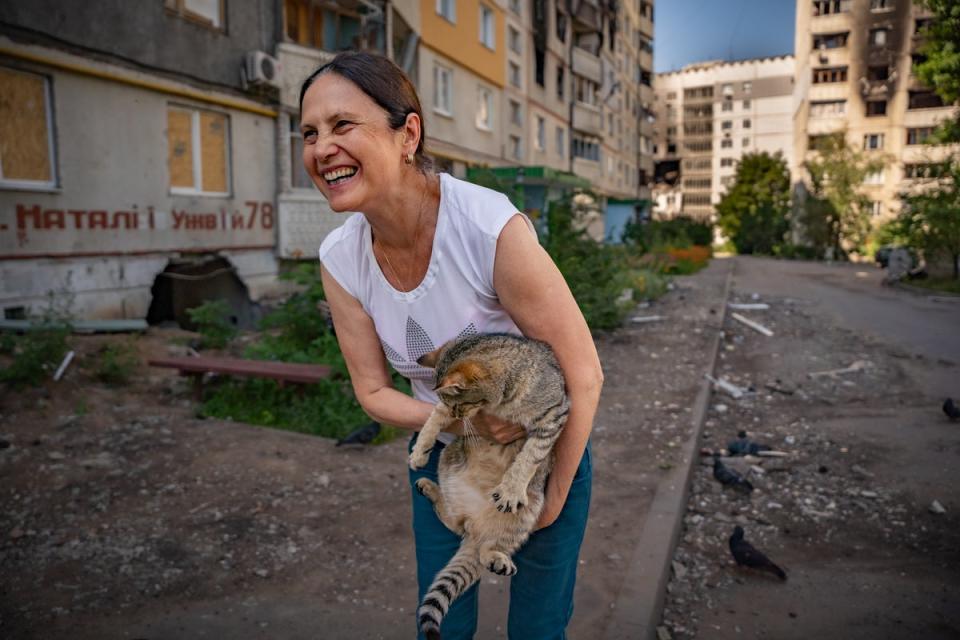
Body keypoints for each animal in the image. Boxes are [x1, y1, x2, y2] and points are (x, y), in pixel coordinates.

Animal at [406, 336, 568, 640]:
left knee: (485, 549)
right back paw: (428, 487)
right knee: (458, 525)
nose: (456, 413)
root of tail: (477, 525)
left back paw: (497, 559)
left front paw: (511, 487)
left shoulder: (554, 415)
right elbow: (433, 417)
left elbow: (531, 454)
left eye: (459, 404)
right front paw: (420, 450)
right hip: (449, 459)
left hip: (528, 511)